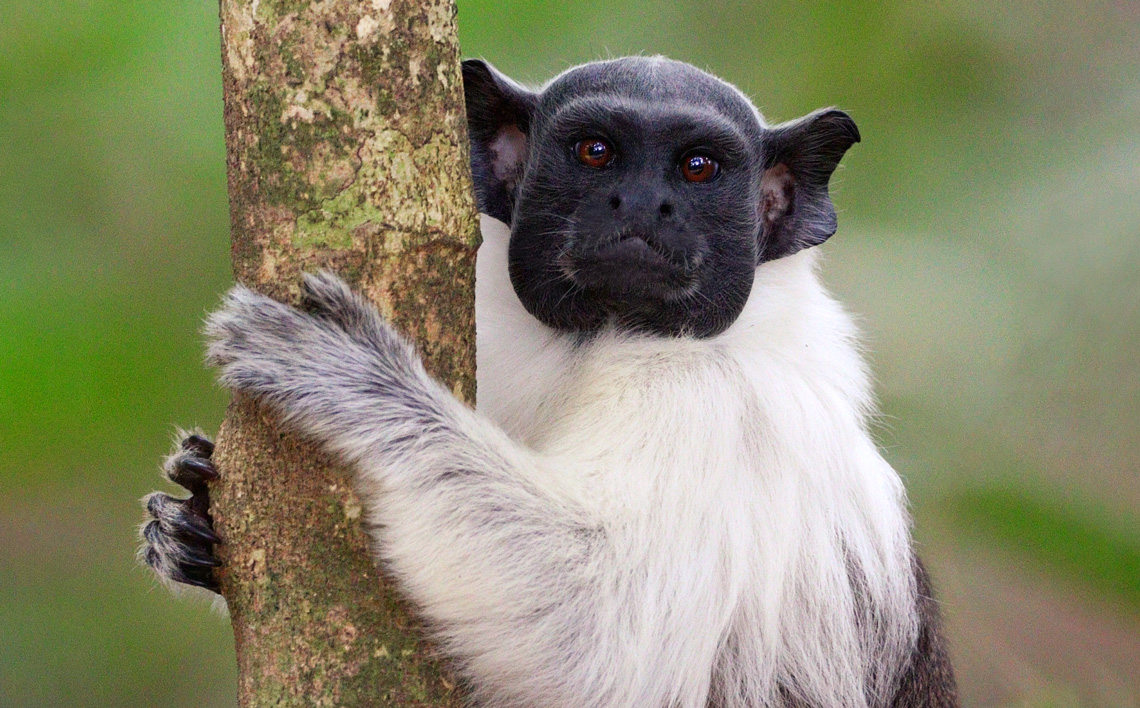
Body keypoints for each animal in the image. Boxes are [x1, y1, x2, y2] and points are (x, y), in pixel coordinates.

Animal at [144, 56, 962, 706]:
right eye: (596, 153)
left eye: (698, 168)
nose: (643, 204)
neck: (602, 339)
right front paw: (187, 518)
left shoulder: (716, 410)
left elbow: (599, 635)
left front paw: (357, 381)